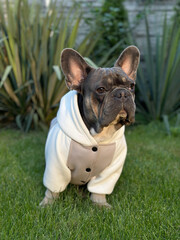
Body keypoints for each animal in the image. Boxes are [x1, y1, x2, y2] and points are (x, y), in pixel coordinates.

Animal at [40, 46, 140, 207]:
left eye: (131, 86)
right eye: (101, 89)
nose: (122, 93)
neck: (98, 136)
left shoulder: (111, 169)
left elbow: (100, 189)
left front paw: (100, 204)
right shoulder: (56, 165)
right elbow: (53, 188)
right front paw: (47, 204)